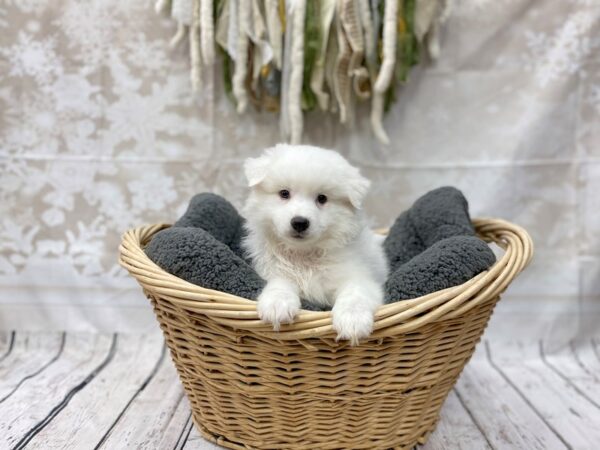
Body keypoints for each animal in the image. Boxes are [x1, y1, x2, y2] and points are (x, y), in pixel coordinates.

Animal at [244, 144, 390, 344]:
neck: (304, 254)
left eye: (322, 198)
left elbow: (355, 294)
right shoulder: (274, 269)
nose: (299, 222)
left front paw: (353, 321)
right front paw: (277, 305)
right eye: (284, 193)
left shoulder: (359, 277)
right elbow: (280, 283)